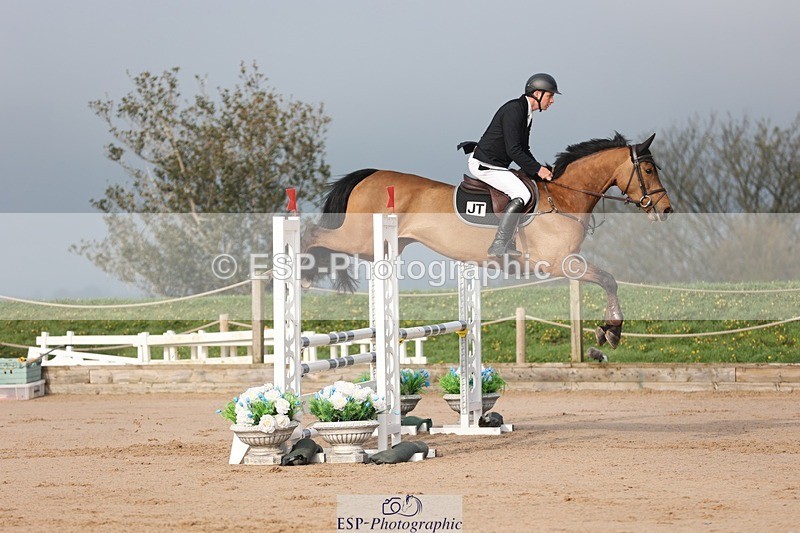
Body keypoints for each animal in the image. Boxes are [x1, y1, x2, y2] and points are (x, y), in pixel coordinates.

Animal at [301, 132, 672, 348]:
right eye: (649, 170)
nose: (666, 210)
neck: (564, 198)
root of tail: (370, 175)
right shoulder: (559, 264)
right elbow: (608, 280)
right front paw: (611, 331)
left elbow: (608, 281)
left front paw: (608, 330)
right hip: (360, 239)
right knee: (313, 234)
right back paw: (302, 275)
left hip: (376, 246)